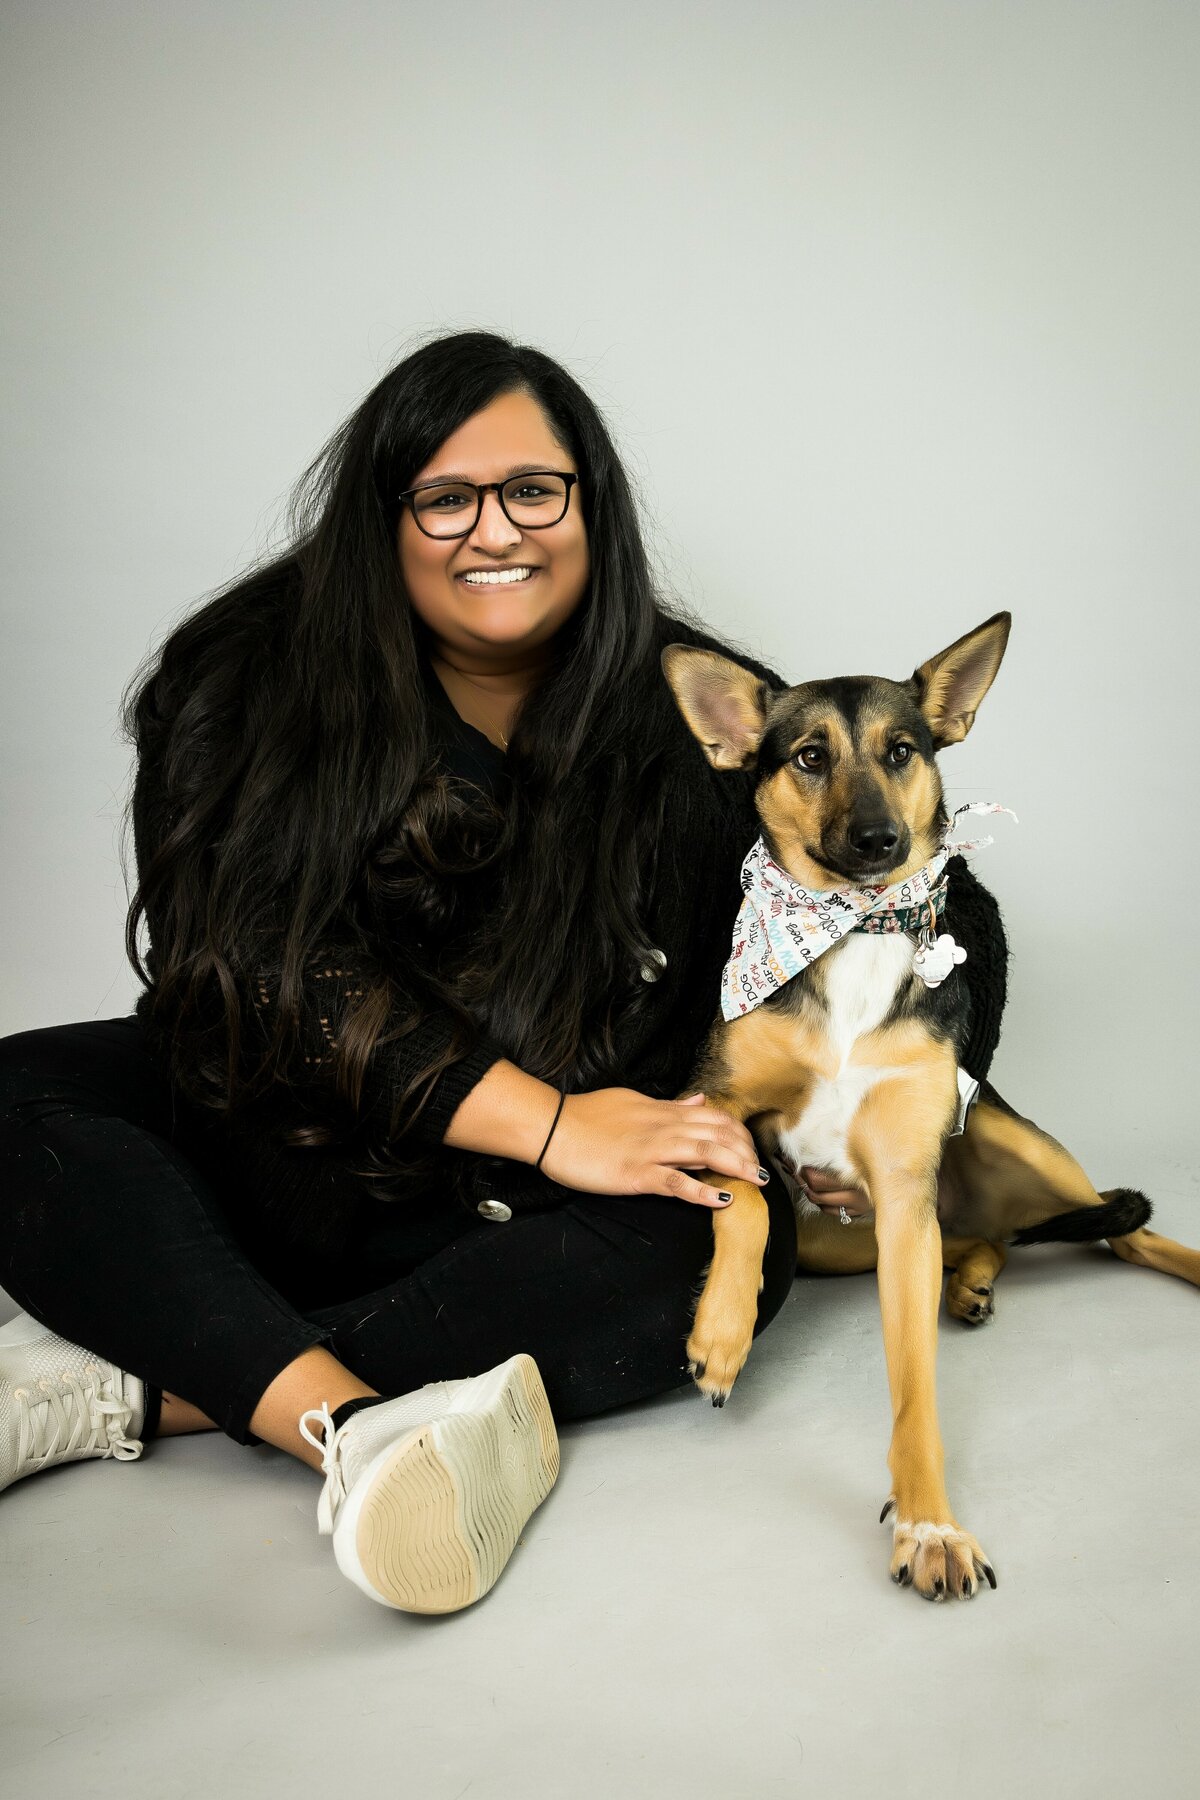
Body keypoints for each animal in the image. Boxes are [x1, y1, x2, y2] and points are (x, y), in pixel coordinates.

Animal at [662, 615, 1194, 1605]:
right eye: (808, 756)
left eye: (901, 750)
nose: (878, 838)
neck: (852, 933)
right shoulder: (705, 1107)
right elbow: (744, 1196)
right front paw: (721, 1333)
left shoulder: (906, 1195)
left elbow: (915, 1388)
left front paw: (930, 1527)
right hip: (842, 1238)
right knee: (989, 1237)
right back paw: (974, 1278)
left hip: (1001, 1137)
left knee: (1120, 1226)